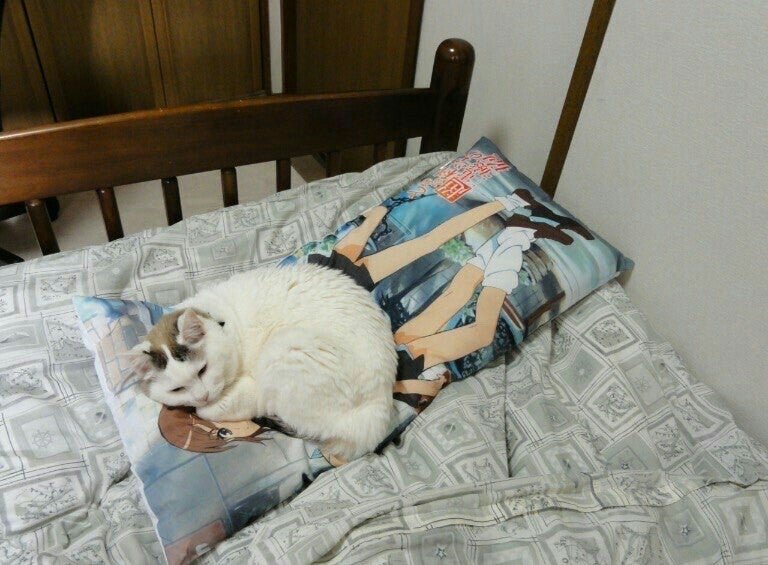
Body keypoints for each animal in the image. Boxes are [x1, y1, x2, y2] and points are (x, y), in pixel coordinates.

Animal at [127, 264, 398, 461]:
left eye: (203, 370)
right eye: (177, 389)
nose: (202, 397)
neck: (222, 320)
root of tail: (378, 411)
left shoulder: (252, 388)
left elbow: (215, 409)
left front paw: (208, 406)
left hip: (286, 350)